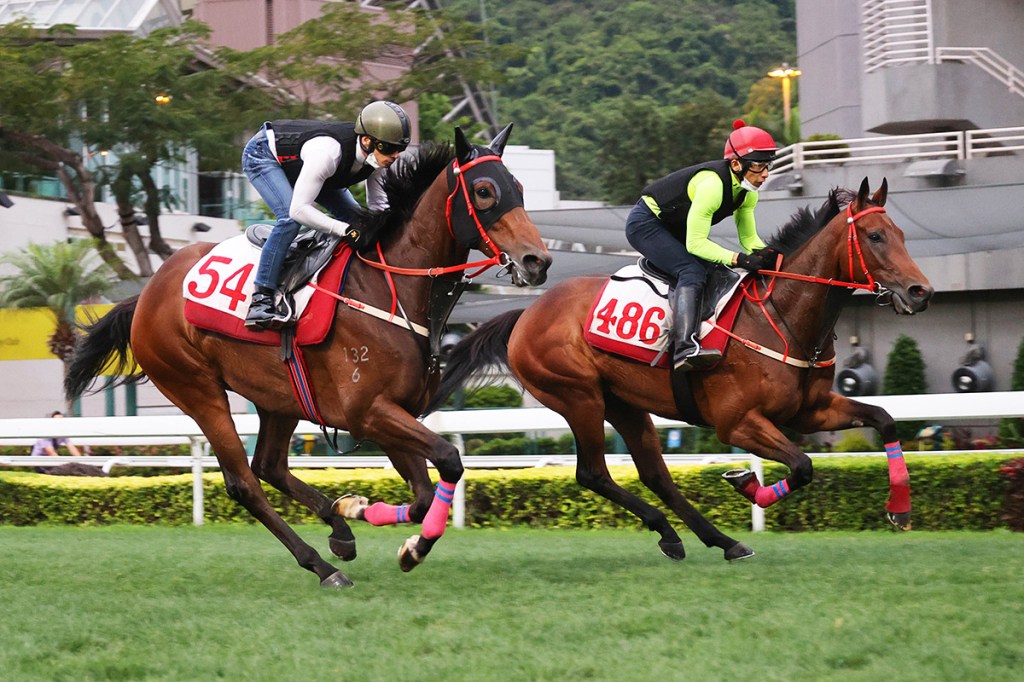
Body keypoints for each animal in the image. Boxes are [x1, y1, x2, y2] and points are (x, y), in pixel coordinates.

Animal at [65, 126, 552, 588]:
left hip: (278, 396)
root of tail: (146, 294)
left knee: (269, 465)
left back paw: (338, 531)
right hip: (196, 388)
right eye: (485, 191)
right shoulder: (369, 413)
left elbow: (422, 497)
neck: (391, 290)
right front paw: (368, 517)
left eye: (519, 187)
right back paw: (321, 564)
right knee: (244, 482)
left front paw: (376, 524)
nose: (538, 261)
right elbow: (449, 460)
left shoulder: (394, 413)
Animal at [425, 178, 933, 562]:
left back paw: (716, 540)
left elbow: (884, 420)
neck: (781, 316)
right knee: (593, 474)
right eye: (875, 236)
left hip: (624, 403)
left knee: (656, 476)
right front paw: (747, 484)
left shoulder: (810, 410)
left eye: (903, 235)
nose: (921, 292)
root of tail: (525, 315)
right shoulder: (737, 423)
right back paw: (674, 532)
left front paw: (901, 510)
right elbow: (803, 464)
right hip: (579, 396)